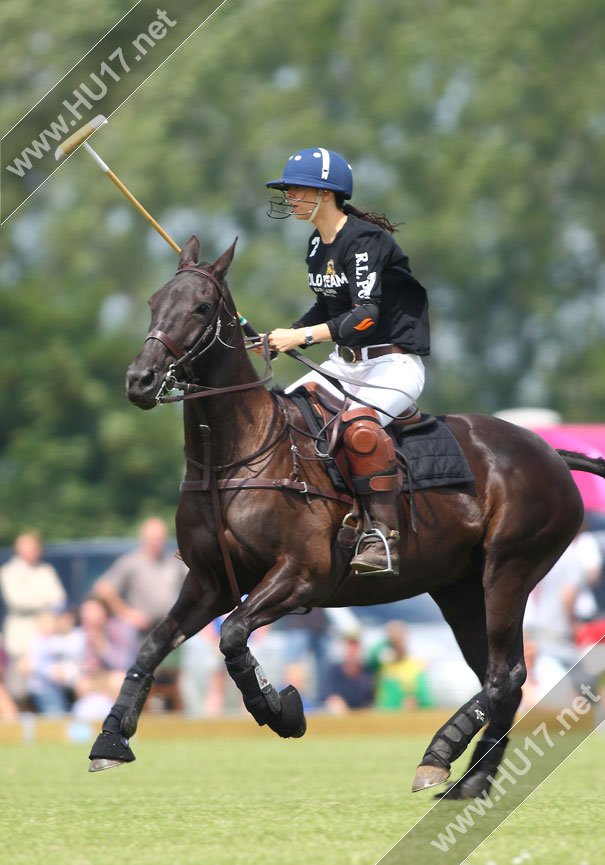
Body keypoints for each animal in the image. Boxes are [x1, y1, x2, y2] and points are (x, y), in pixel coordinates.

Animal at [88, 235, 604, 796]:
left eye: (201, 307)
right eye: (154, 301)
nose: (140, 379)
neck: (236, 456)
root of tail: (554, 455)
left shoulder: (301, 575)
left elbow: (233, 635)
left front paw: (281, 710)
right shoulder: (210, 581)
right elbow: (152, 645)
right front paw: (110, 740)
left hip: (509, 569)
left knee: (503, 675)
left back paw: (442, 755)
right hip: (460, 587)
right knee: (506, 675)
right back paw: (469, 777)